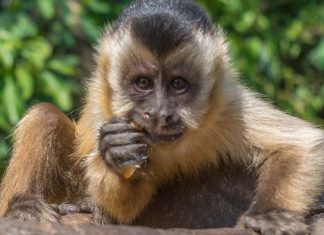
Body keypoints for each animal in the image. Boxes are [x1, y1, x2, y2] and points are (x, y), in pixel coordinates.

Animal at [0, 0, 324, 234]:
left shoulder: (228, 105)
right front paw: (118, 152)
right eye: (143, 83)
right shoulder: (108, 111)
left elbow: (299, 145)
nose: (158, 113)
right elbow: (118, 207)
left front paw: (271, 215)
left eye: (178, 84)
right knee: (45, 116)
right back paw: (22, 208)